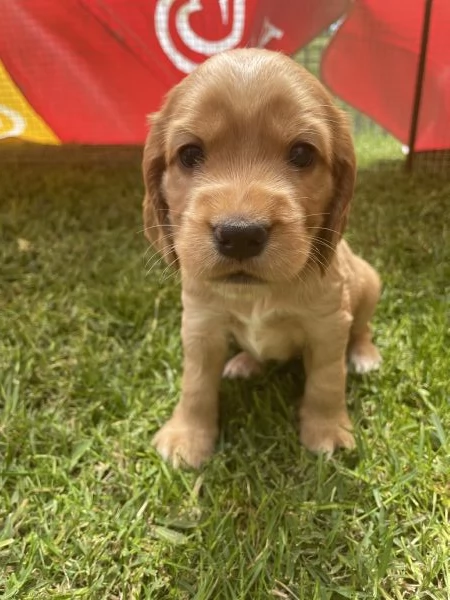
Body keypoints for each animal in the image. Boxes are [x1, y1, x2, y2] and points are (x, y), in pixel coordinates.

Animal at [142, 48, 382, 468]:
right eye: (190, 154)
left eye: (302, 153)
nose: (240, 235)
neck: (257, 295)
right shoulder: (201, 324)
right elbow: (195, 383)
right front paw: (187, 437)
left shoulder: (328, 324)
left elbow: (327, 380)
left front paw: (327, 431)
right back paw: (244, 363)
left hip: (369, 281)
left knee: (362, 328)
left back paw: (365, 355)